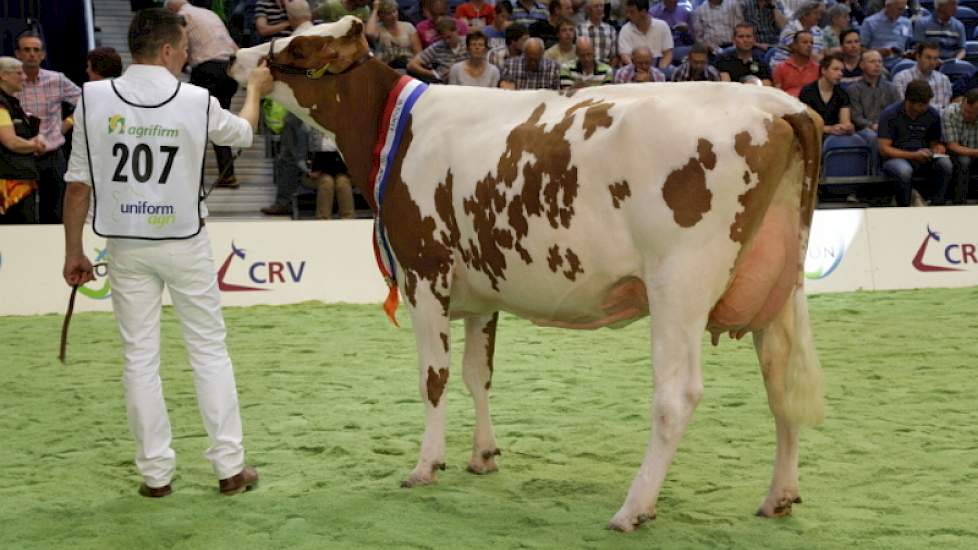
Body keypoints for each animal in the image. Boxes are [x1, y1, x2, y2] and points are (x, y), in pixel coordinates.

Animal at [231, 17, 824, 532]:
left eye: (299, 47)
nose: (236, 59)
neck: (396, 128)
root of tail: (777, 102)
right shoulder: (480, 292)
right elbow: (478, 374)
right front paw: (483, 455)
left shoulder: (425, 272)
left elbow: (433, 377)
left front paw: (426, 465)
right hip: (779, 285)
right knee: (781, 382)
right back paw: (779, 496)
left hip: (679, 284)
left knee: (676, 396)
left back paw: (633, 508)